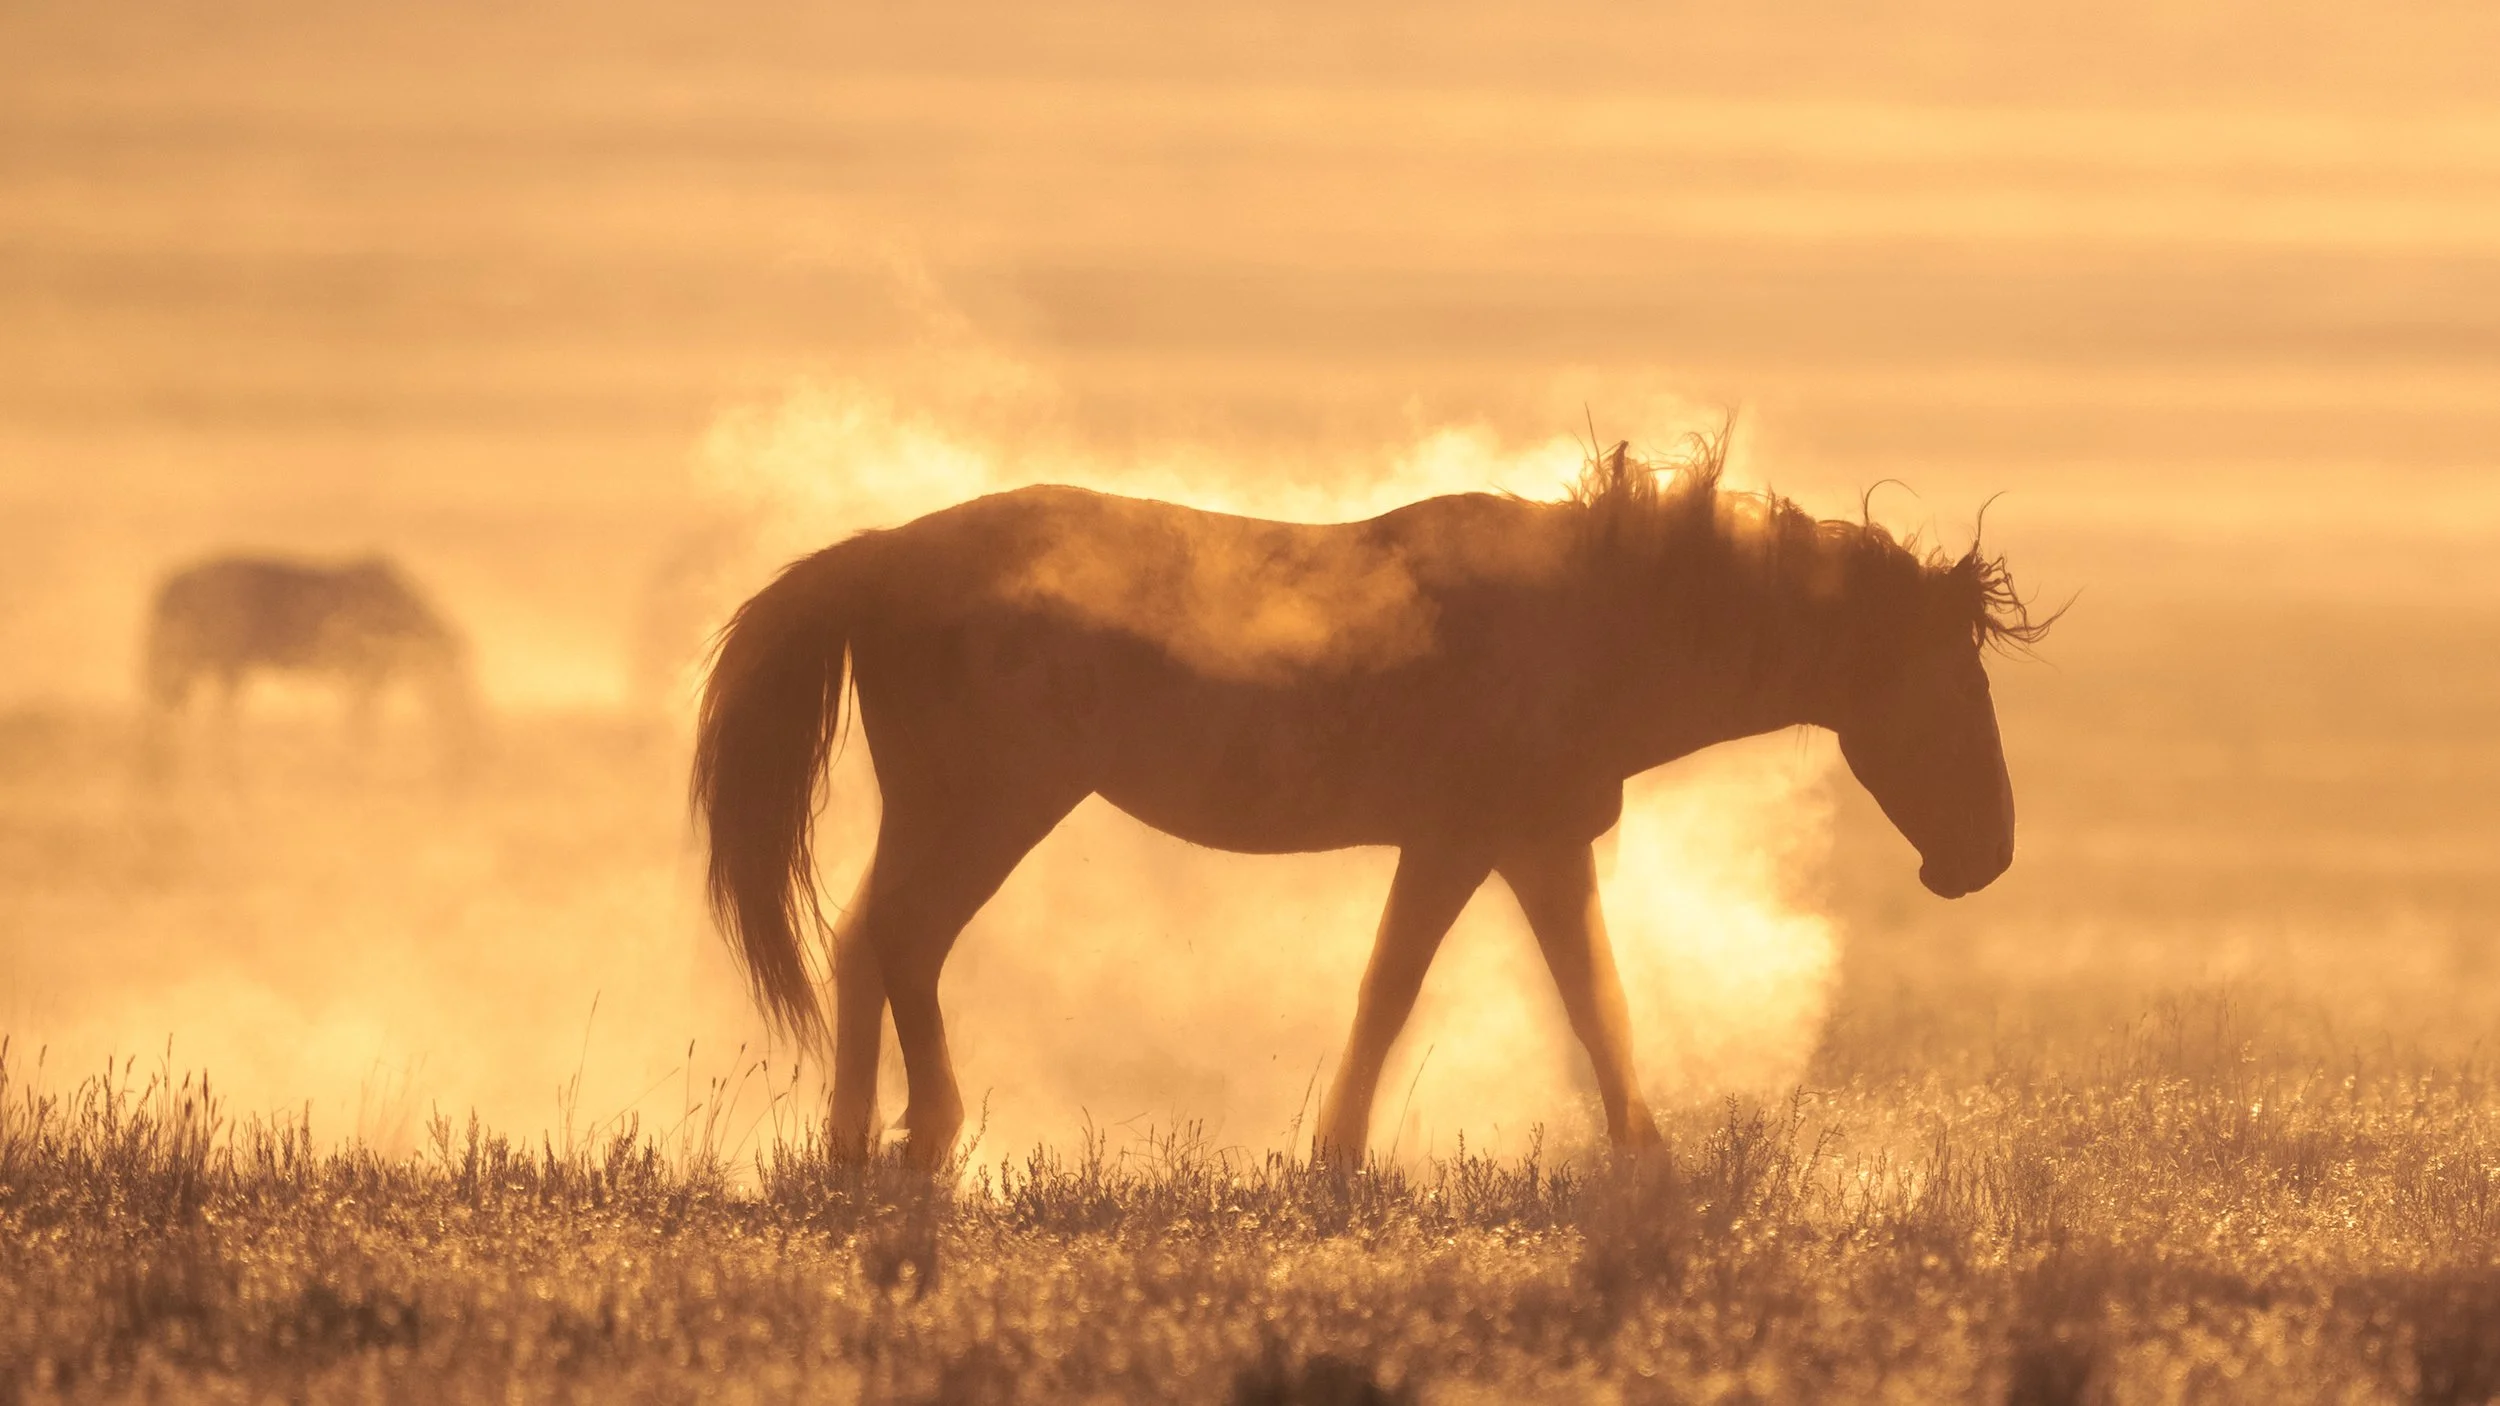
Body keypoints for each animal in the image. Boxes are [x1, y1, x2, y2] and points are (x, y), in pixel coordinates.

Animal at [142, 554, 478, 769]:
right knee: (195, 715)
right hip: (212, 665)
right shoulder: (363, 677)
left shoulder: (366, 679)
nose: (466, 747)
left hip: (204, 667)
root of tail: (172, 583)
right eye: (460, 689)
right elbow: (361, 727)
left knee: (180, 710)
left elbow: (361, 725)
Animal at [693, 441, 2051, 1167]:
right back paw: (924, 1137)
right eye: (1954, 684)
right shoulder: (1476, 841)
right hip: (990, 804)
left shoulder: (1519, 845)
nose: (1985, 855)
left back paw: (851, 1147)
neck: (1594, 620)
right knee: (904, 940)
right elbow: (1428, 990)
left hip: (947, 810)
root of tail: (883, 553)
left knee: (865, 939)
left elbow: (1568, 994)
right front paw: (1342, 1156)